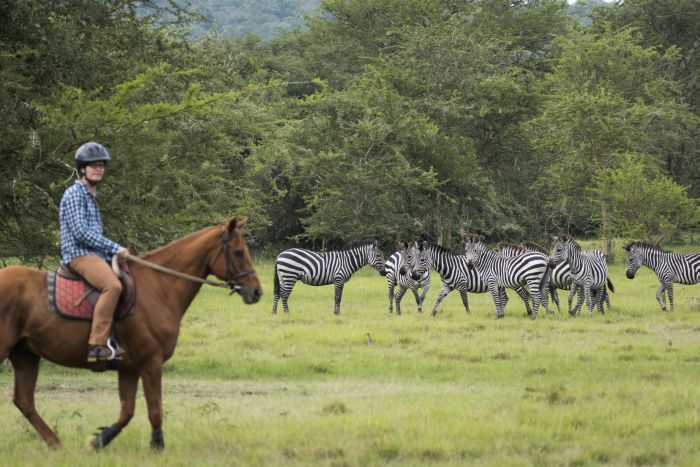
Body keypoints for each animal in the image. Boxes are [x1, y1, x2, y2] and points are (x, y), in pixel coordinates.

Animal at [0, 218, 262, 452]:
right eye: (238, 253)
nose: (257, 292)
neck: (158, 287)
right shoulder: (151, 363)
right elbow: (154, 410)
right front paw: (157, 446)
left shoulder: (129, 368)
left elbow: (127, 411)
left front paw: (98, 441)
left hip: (25, 356)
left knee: (24, 401)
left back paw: (56, 444)